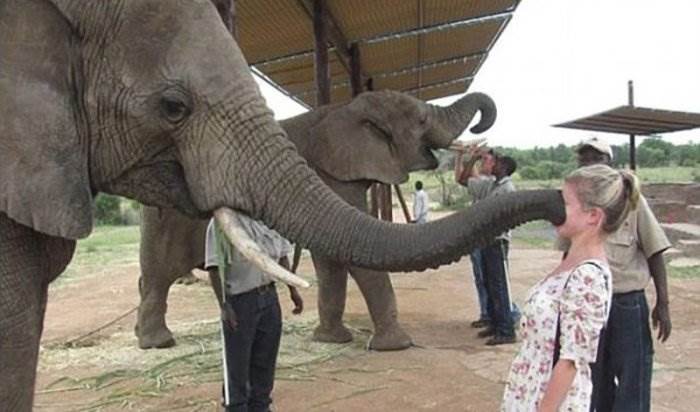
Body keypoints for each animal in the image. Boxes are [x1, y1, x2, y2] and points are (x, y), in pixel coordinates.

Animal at [136, 90, 497, 351]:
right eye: (422, 120)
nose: (478, 135)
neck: (346, 109)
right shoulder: (331, 175)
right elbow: (356, 254)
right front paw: (397, 346)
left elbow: (332, 259)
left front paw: (331, 339)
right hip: (167, 220)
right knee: (159, 274)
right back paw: (158, 343)